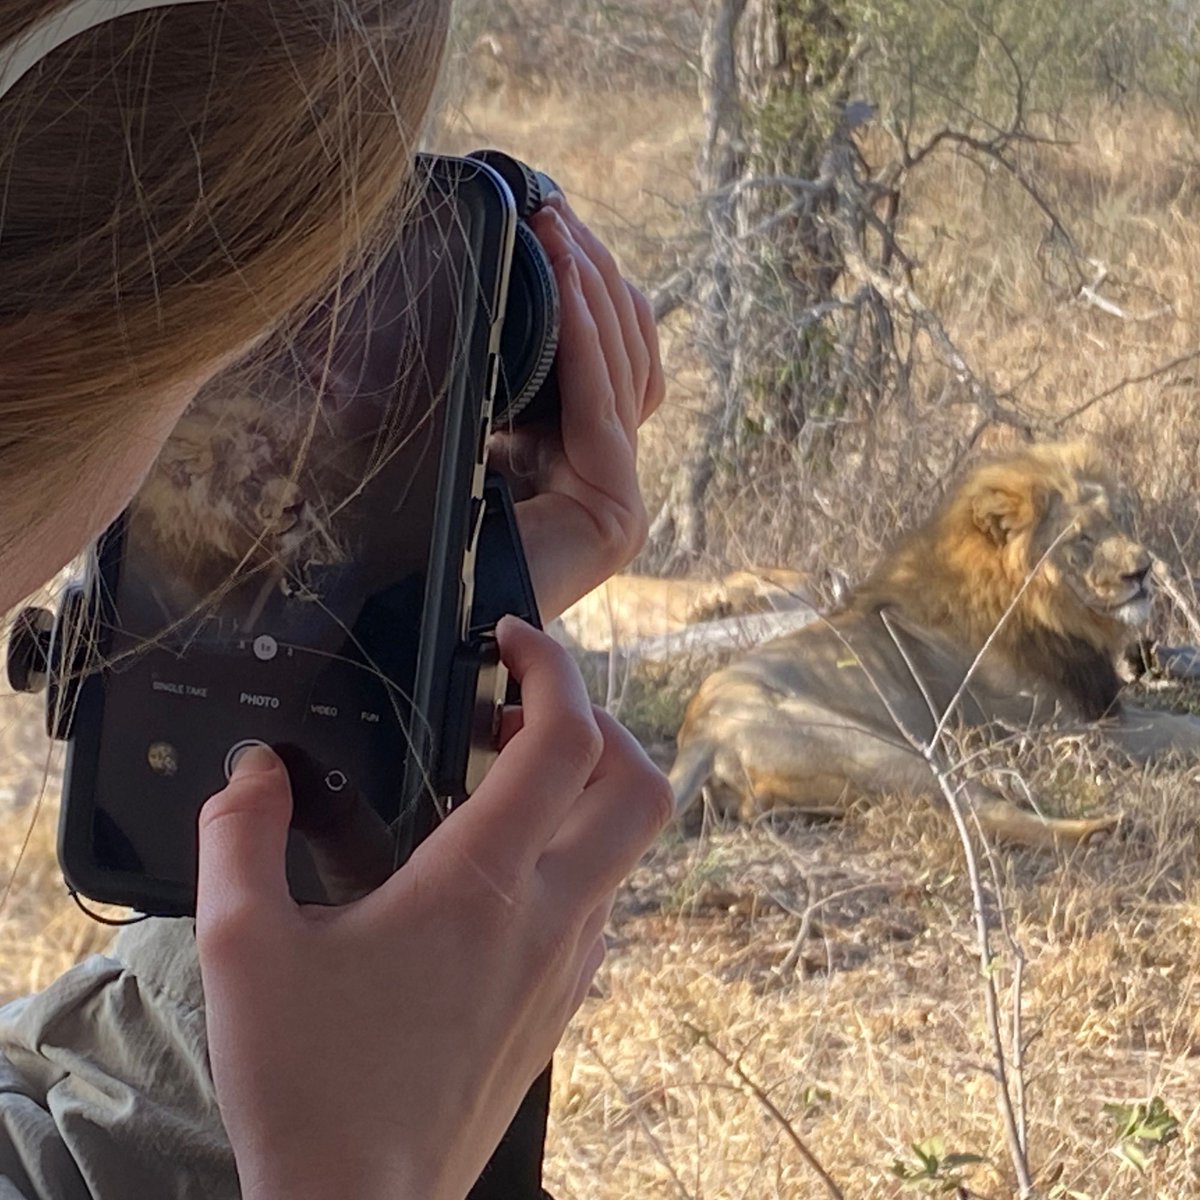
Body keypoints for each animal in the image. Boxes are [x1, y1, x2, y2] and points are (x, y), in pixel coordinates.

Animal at [672, 446, 1200, 849]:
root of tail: (701, 736)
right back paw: (1104, 827)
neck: (1050, 613)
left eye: (1119, 521)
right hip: (892, 753)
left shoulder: (1102, 707)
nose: (1144, 570)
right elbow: (1180, 732)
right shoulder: (1064, 730)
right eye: (1081, 540)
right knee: (986, 815)